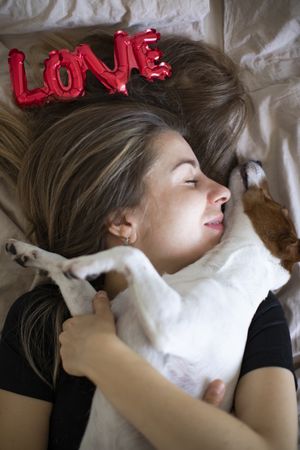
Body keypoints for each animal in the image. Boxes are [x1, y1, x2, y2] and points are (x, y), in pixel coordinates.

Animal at [5, 162, 300, 450]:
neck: (217, 269)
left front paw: (84, 263)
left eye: (278, 205)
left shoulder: (171, 324)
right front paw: (28, 251)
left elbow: (132, 252)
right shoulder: (96, 313)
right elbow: (58, 262)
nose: (257, 161)